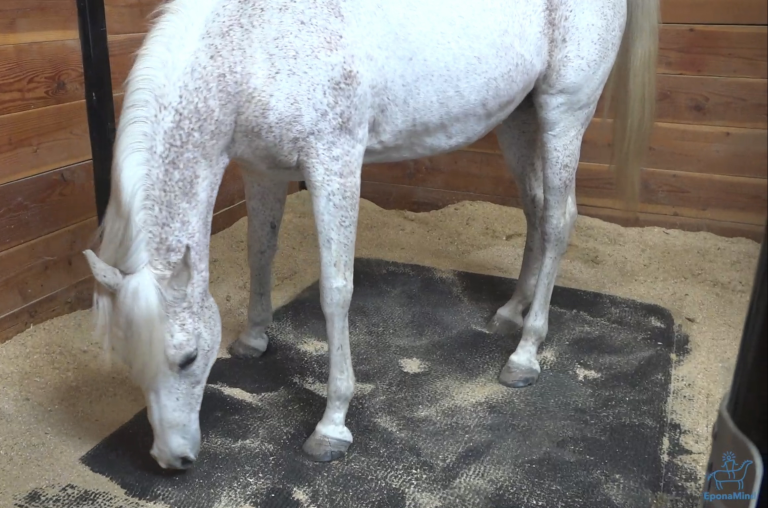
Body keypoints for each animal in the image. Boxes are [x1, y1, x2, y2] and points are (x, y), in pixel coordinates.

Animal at [82, 0, 658, 470]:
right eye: (128, 361)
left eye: (187, 359)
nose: (171, 458)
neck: (253, 42)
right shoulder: (262, 169)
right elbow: (259, 253)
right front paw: (254, 338)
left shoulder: (334, 164)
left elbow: (336, 293)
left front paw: (332, 425)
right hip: (518, 116)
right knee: (537, 210)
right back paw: (511, 311)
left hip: (563, 113)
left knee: (560, 220)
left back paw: (525, 352)